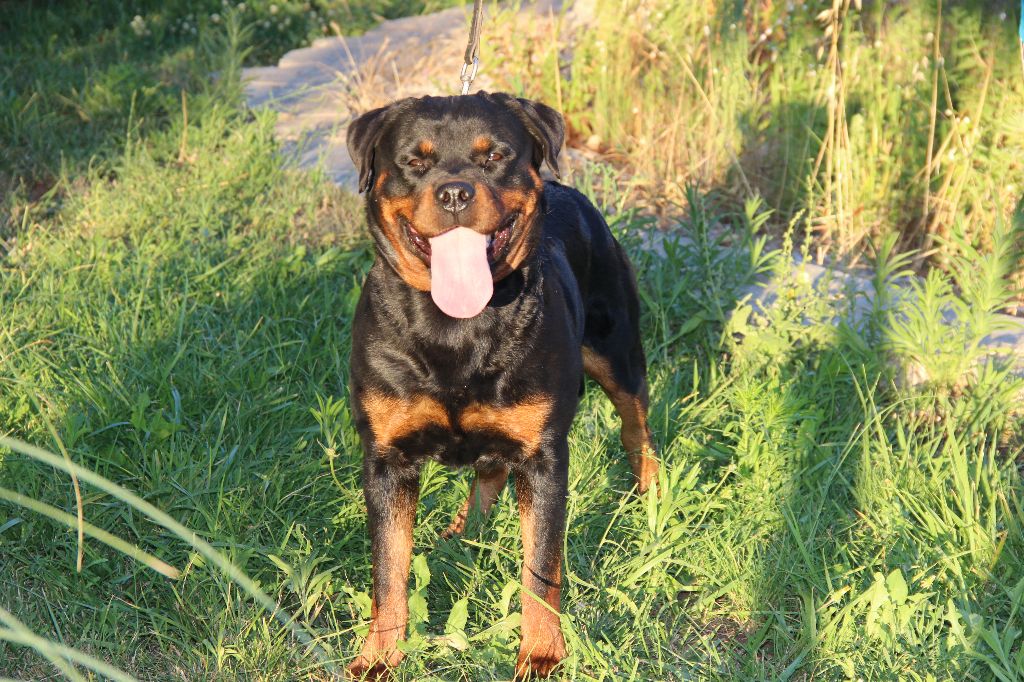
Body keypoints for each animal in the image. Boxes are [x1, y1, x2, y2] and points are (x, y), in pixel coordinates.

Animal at [348, 93, 659, 675]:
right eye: (414, 161)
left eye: (494, 156)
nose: (455, 192)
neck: (454, 328)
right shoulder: (385, 460)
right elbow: (389, 570)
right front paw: (379, 656)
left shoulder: (543, 457)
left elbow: (541, 567)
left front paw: (541, 654)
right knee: (488, 469)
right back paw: (462, 532)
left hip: (617, 349)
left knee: (636, 427)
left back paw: (650, 497)